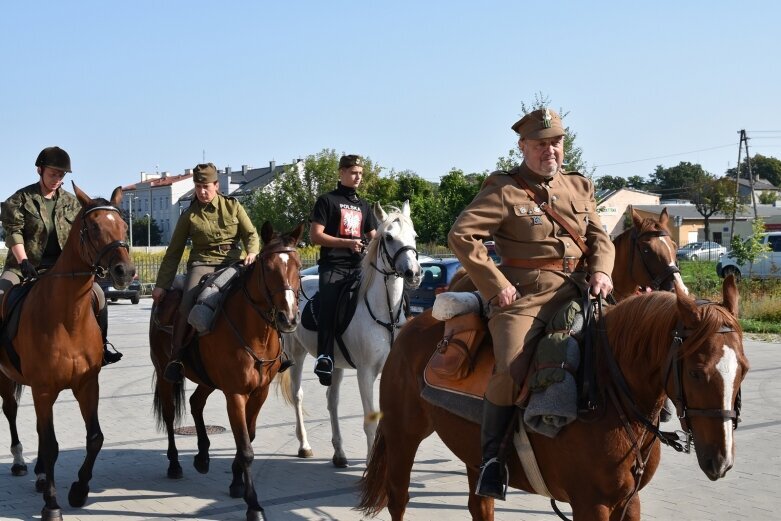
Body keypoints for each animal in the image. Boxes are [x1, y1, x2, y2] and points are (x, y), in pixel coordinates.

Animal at [0, 186, 133, 520]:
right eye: (94, 228)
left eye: (124, 227)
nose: (125, 272)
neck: (67, 316)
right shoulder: (44, 390)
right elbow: (50, 445)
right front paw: (52, 504)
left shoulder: (87, 385)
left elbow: (95, 438)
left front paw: (79, 489)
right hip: (6, 378)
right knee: (10, 411)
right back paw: (20, 462)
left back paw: (39, 474)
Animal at [149, 219, 304, 520]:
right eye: (269, 268)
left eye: (299, 265)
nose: (289, 318)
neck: (255, 332)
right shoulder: (235, 395)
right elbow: (245, 447)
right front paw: (253, 504)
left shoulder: (259, 392)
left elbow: (249, 437)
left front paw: (236, 482)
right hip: (164, 374)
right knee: (171, 416)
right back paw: (175, 464)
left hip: (207, 379)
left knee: (196, 403)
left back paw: (202, 456)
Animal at [280, 201, 420, 466]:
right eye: (388, 237)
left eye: (414, 236)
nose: (414, 273)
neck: (384, 311)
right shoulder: (365, 373)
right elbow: (370, 420)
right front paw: (370, 463)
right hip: (296, 354)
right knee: (297, 395)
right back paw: (304, 445)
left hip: (334, 365)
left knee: (332, 400)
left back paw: (339, 452)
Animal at [360, 274, 748, 516]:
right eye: (696, 371)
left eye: (743, 369)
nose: (721, 460)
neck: (603, 393)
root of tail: (411, 324)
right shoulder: (590, 505)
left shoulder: (629, 502)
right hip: (403, 437)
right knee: (398, 499)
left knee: (480, 505)